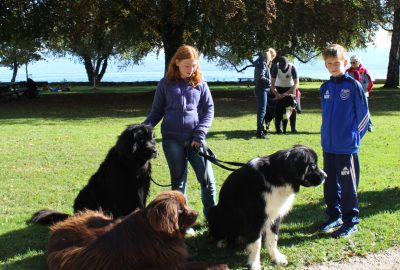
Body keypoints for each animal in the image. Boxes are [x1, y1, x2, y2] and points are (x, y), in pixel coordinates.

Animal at [47, 191, 228, 268]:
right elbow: (200, 264)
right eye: (180, 209)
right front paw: (220, 265)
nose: (197, 213)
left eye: (185, 204)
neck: (157, 232)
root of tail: (56, 232)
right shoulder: (172, 264)